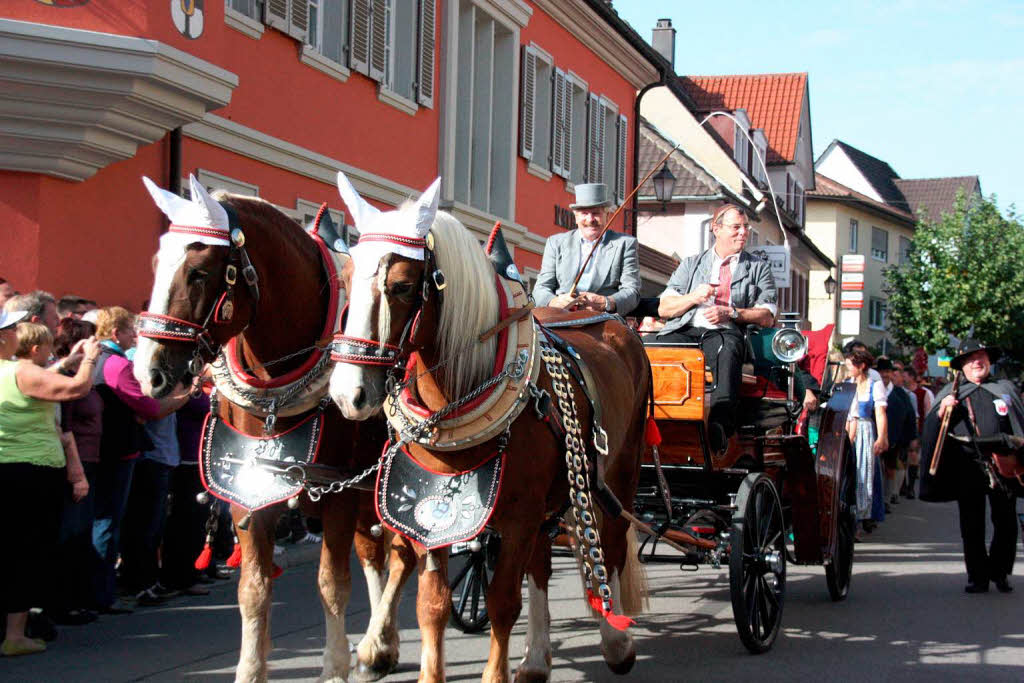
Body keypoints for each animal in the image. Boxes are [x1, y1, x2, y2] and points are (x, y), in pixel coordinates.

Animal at [133, 178, 415, 683]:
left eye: (199, 272)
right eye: (155, 264)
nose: (150, 374)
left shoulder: (337, 494)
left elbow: (331, 584)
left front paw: (334, 667)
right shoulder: (247, 489)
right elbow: (254, 588)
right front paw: (250, 669)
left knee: (402, 556)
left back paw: (376, 642)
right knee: (374, 554)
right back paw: (379, 645)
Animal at [327, 174, 647, 679]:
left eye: (401, 286)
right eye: (343, 279)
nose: (348, 394)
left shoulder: (517, 518)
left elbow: (501, 602)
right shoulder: (432, 513)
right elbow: (432, 604)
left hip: (618, 471)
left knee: (611, 542)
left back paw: (615, 642)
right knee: (542, 564)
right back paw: (536, 658)